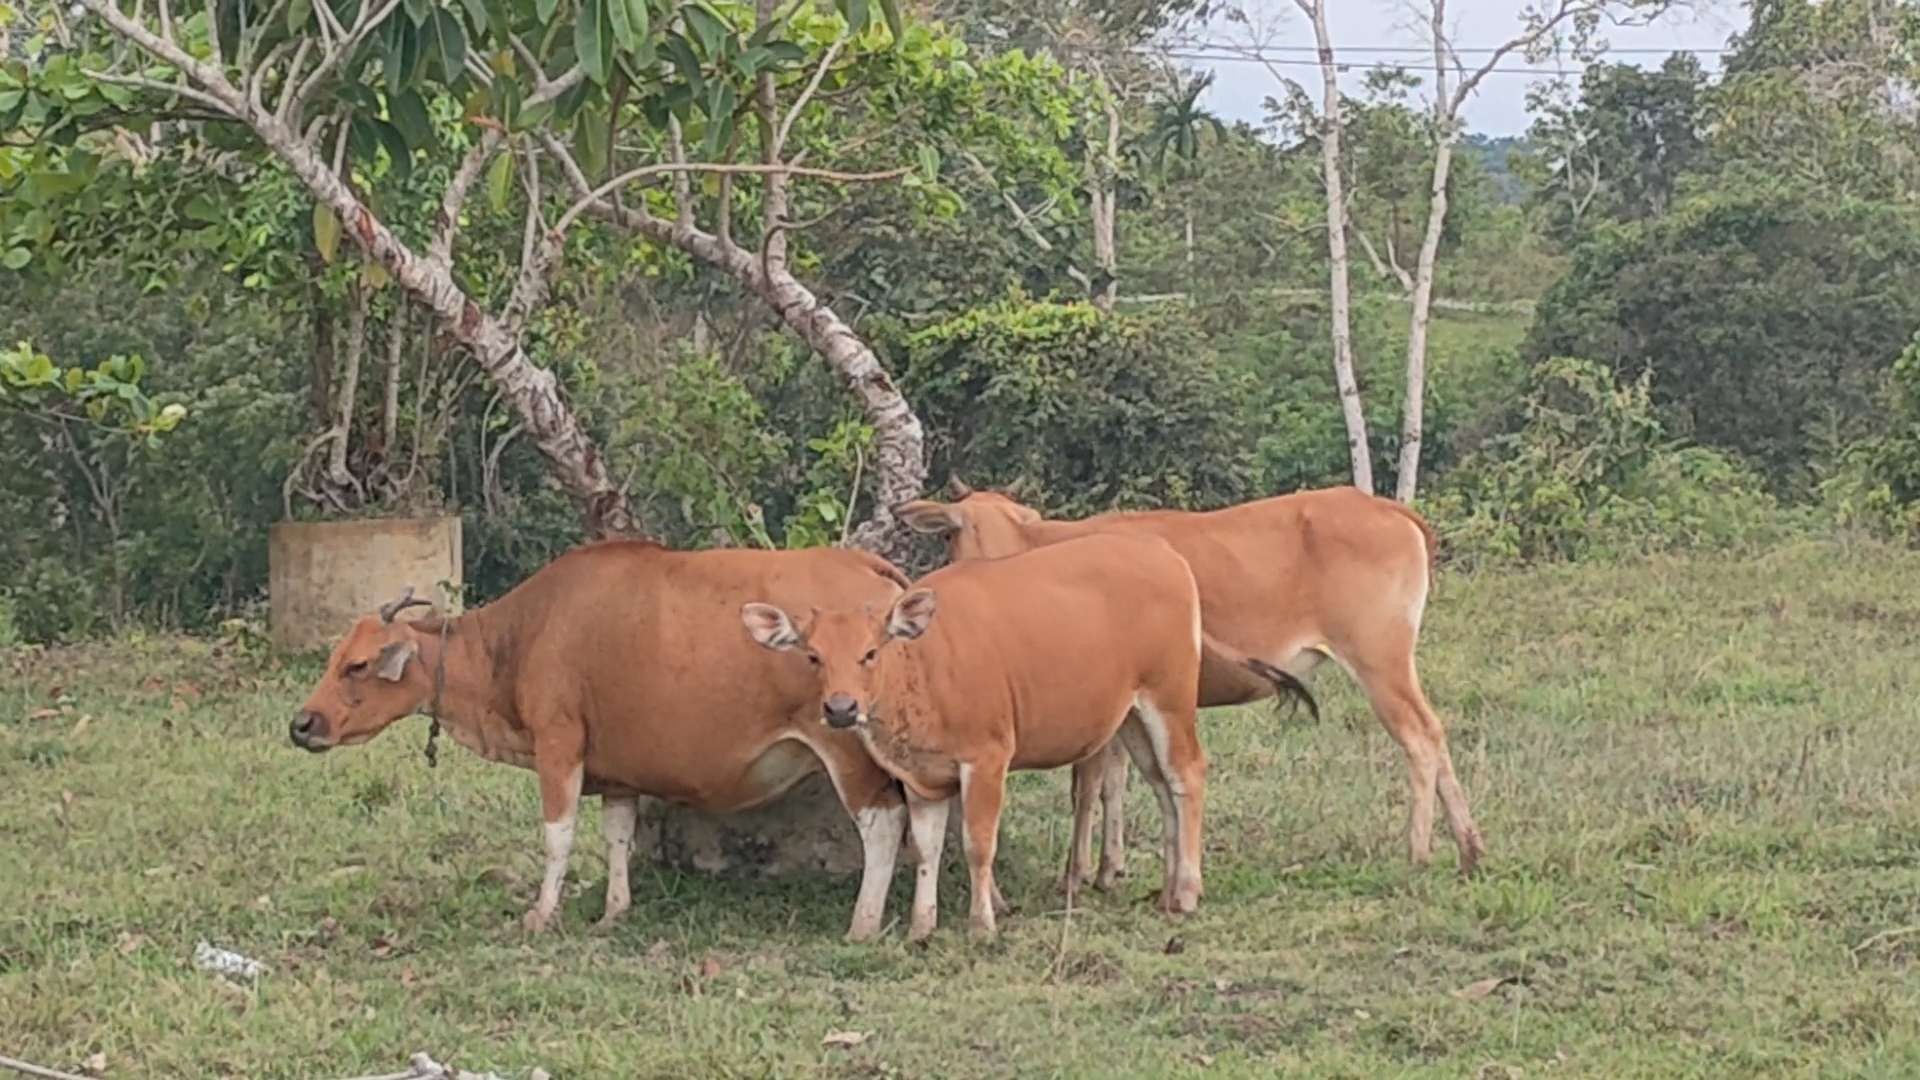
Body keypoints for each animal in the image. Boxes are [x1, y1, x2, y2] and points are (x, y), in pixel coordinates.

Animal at [286, 541, 913, 937]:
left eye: (357, 665)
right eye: (336, 657)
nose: (302, 723)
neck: (521, 637)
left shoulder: (558, 744)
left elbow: (557, 836)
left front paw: (541, 914)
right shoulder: (617, 773)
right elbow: (617, 837)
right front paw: (614, 911)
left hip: (846, 745)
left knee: (882, 824)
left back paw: (863, 924)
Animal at [741, 534, 1236, 937]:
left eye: (870, 652)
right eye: (813, 656)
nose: (841, 708)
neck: (926, 667)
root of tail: (1165, 554)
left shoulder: (987, 758)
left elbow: (978, 845)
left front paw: (982, 924)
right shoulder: (924, 777)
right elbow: (925, 849)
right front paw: (921, 927)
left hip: (1169, 697)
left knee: (1187, 774)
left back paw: (1187, 891)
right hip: (1131, 715)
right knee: (1161, 785)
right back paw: (1167, 890)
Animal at [890, 484, 1489, 868]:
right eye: (955, 530)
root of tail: (1384, 506)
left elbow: (1089, 787)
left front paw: (1083, 872)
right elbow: (1114, 783)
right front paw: (1111, 868)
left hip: (1378, 661)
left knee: (1419, 737)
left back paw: (1419, 850)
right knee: (1435, 734)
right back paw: (1469, 845)